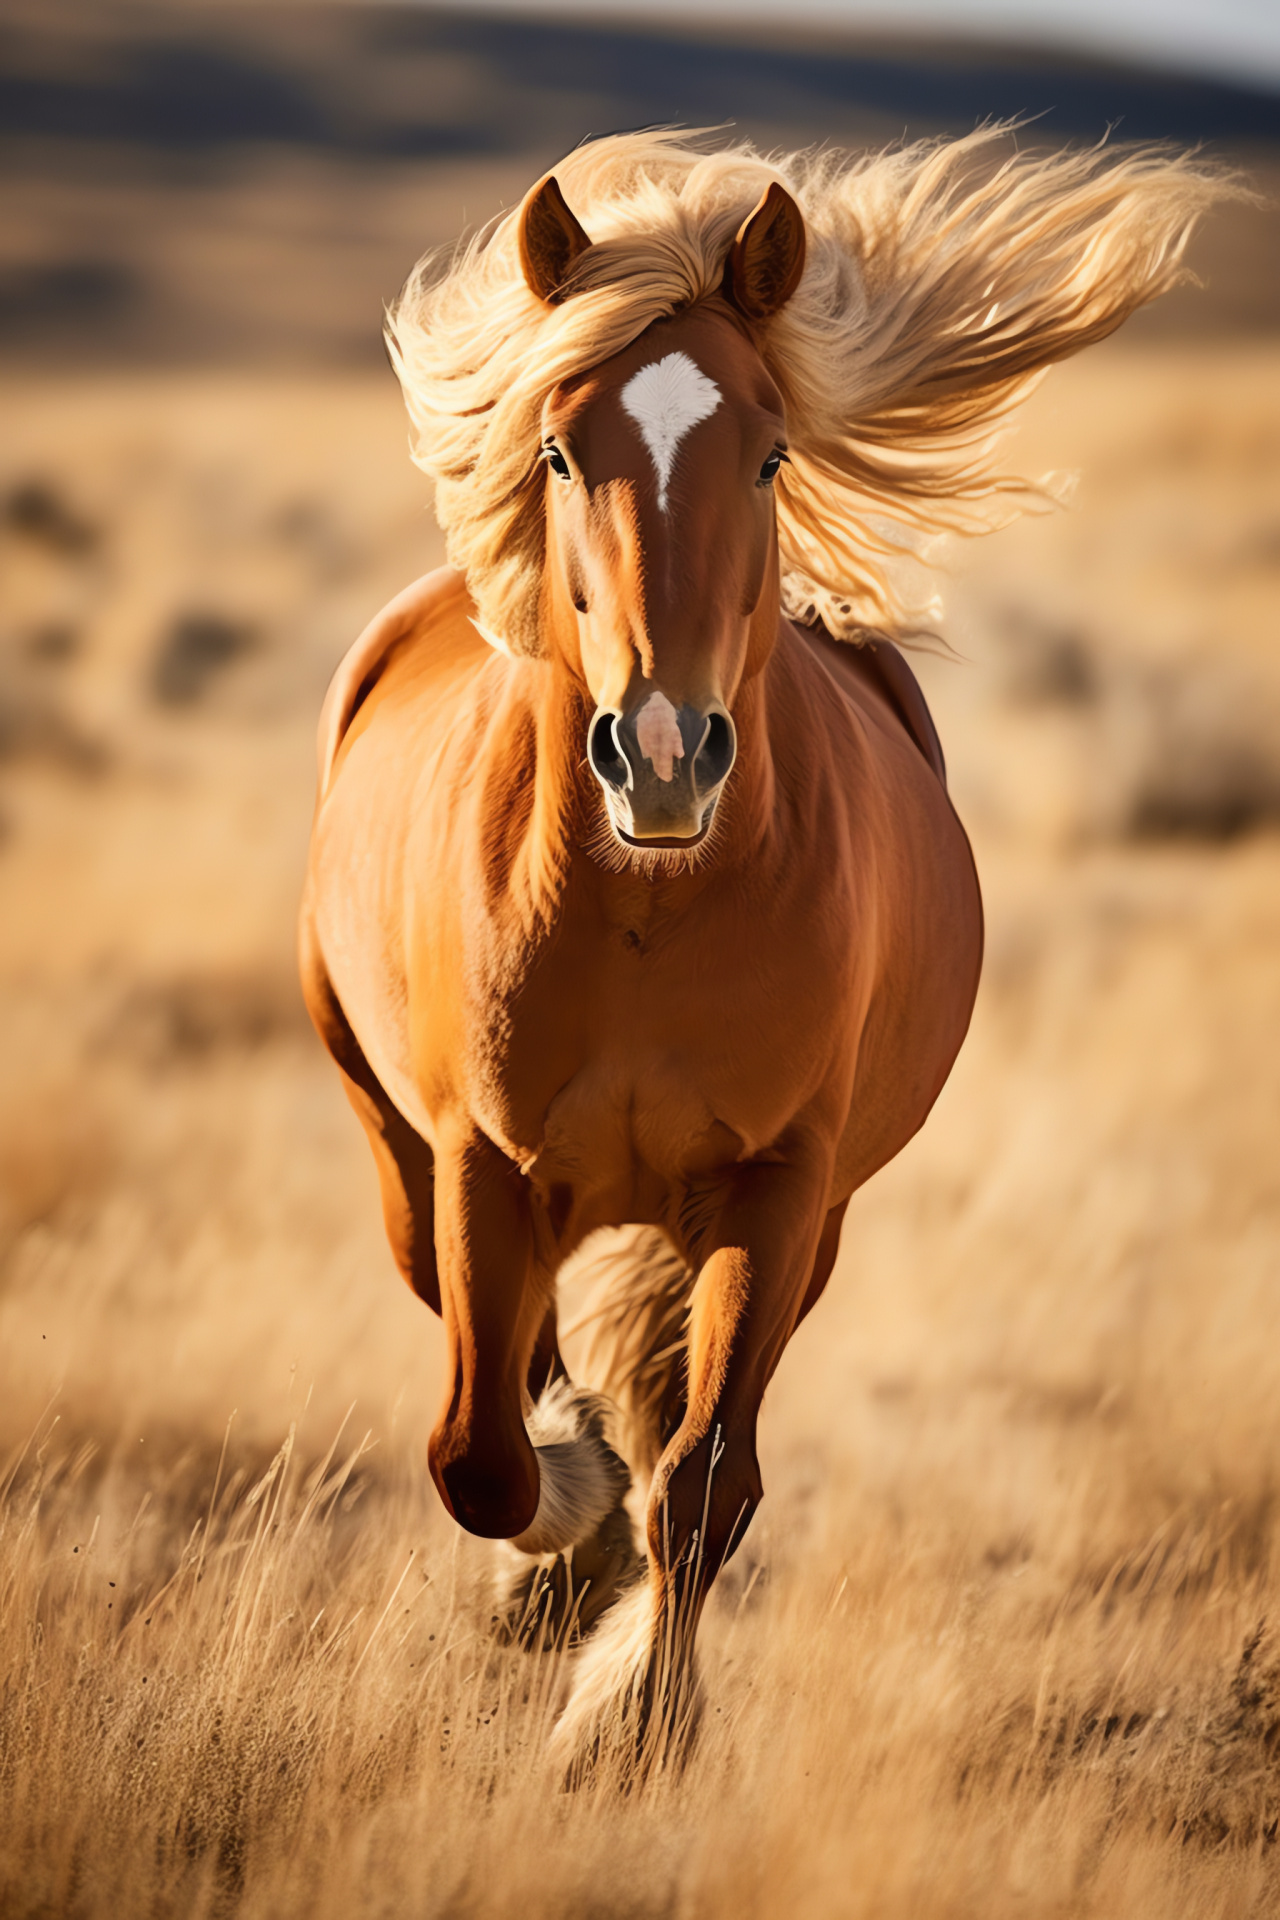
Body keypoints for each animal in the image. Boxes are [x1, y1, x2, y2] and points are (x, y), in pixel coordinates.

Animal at [297, 127, 1220, 1774]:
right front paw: (565, 1549)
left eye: (773, 453)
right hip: (399, 1158)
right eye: (556, 449)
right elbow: (484, 1450)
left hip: (809, 1221)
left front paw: (632, 1732)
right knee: (513, 1370)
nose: (664, 753)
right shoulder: (479, 1165)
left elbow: (706, 1477)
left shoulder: (777, 1189)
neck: (650, 907)